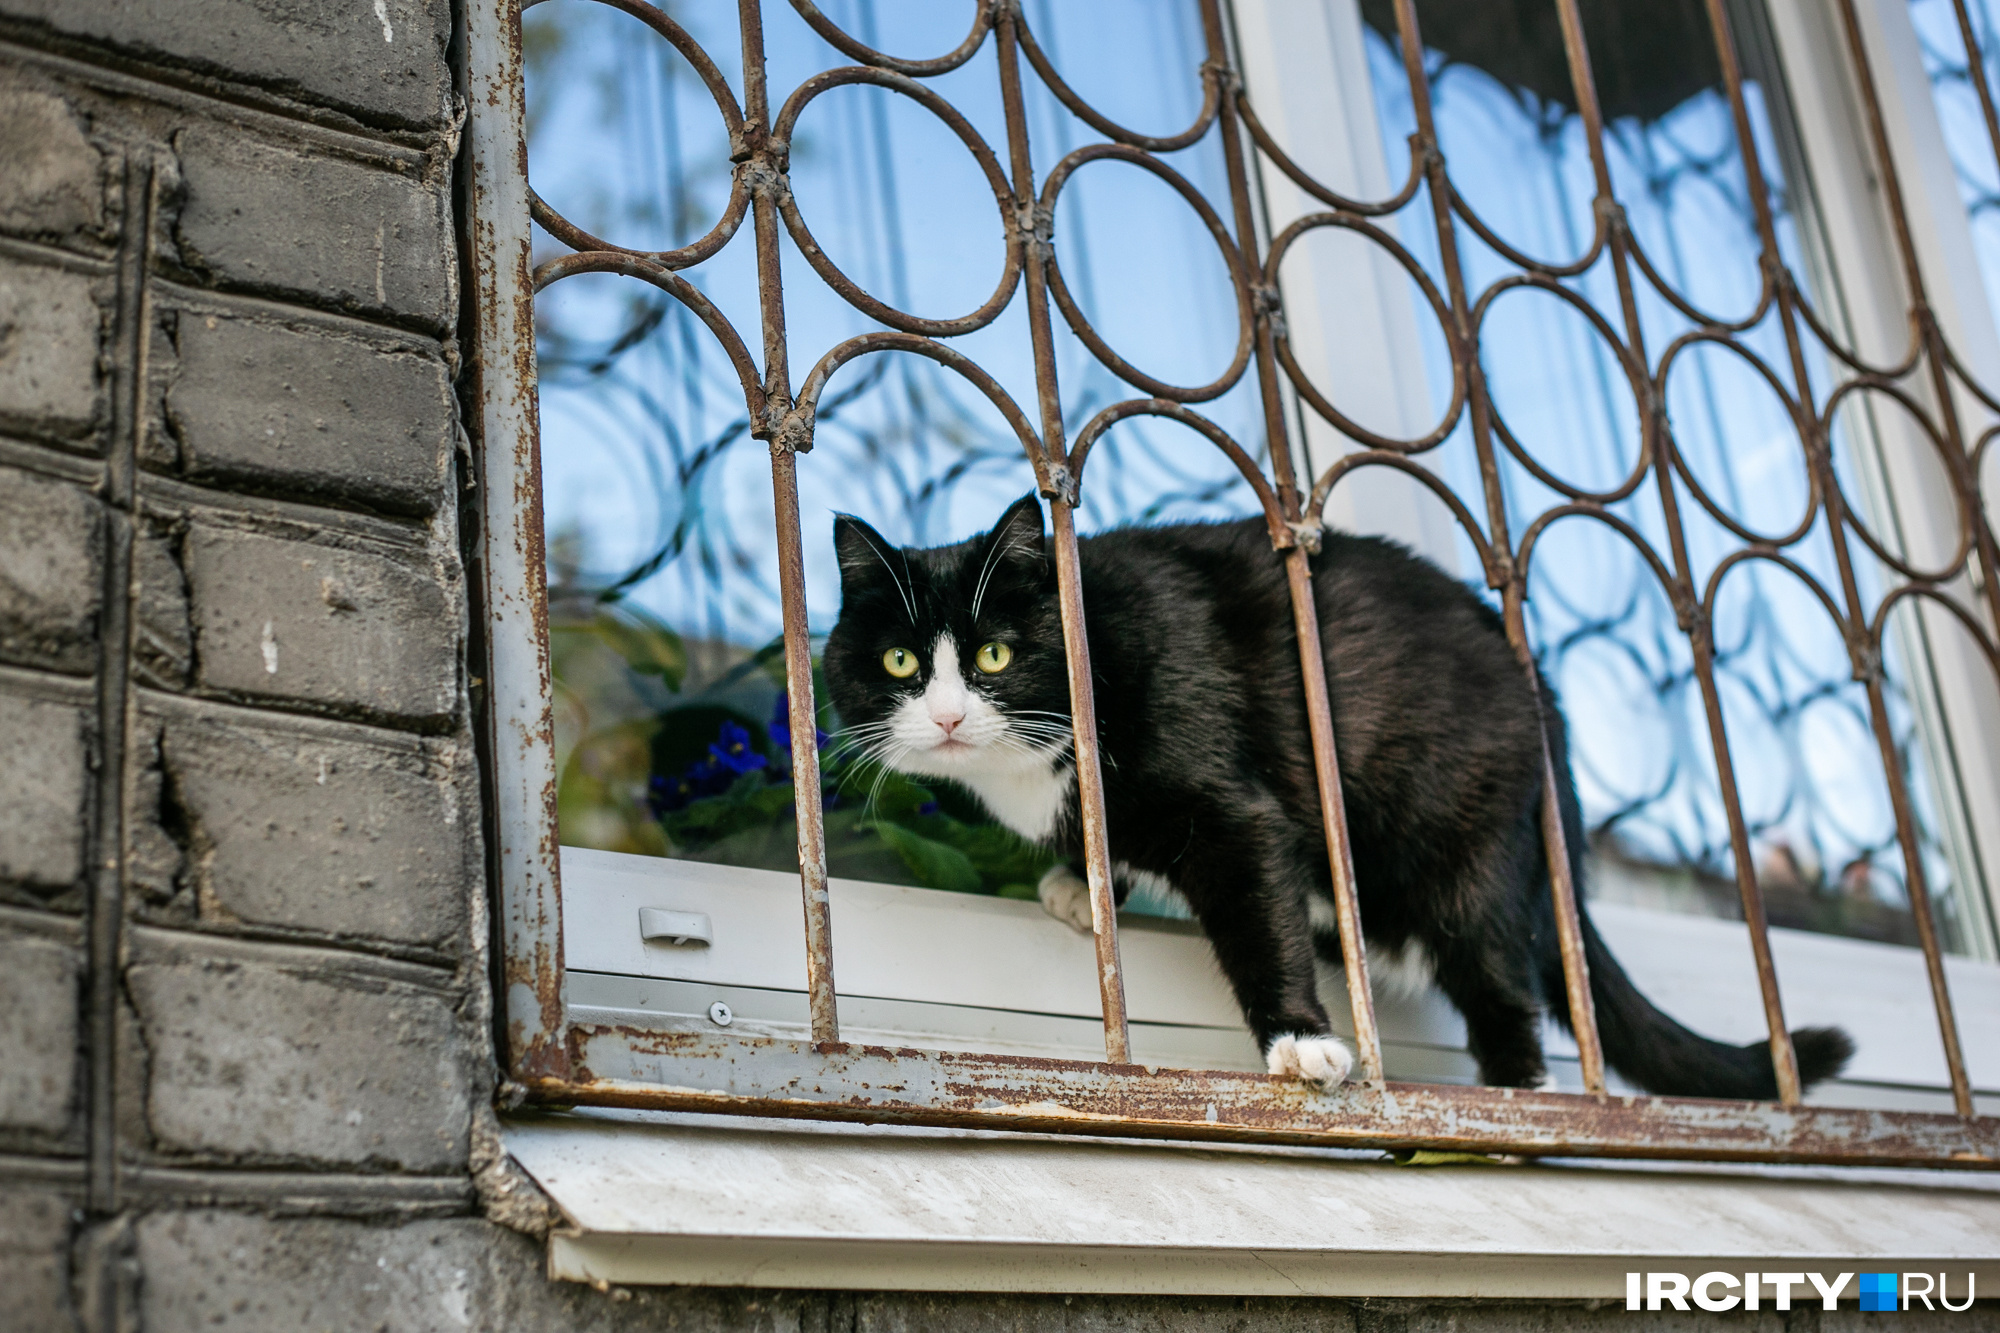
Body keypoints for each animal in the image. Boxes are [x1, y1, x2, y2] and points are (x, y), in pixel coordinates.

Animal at [820, 492, 1848, 1096]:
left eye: (995, 653)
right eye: (901, 662)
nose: (948, 715)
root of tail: (1540, 692)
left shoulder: (1233, 806)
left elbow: (1257, 907)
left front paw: (1300, 1041)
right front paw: (1084, 881)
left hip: (1468, 839)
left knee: (1499, 981)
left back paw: (1516, 1095)